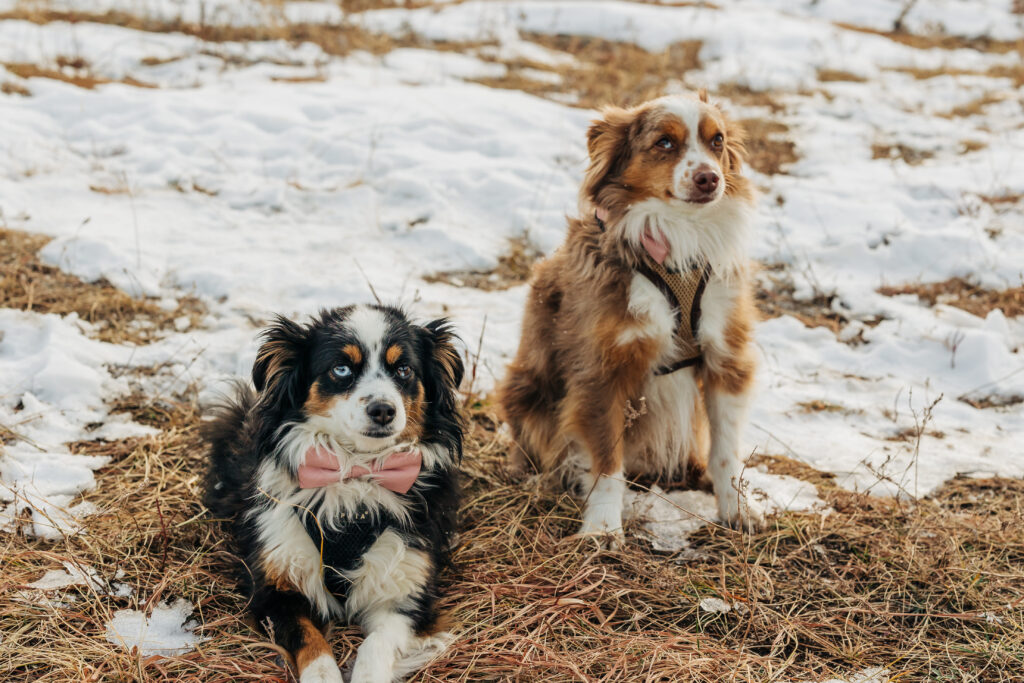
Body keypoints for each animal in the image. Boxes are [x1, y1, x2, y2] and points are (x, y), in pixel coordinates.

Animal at [202, 305, 464, 683]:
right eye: (341, 368)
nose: (383, 410)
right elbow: (310, 641)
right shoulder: (277, 585)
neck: (356, 472)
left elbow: (375, 645)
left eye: (404, 369)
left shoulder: (406, 592)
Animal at [499, 90, 765, 540]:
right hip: (525, 388)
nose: (709, 178)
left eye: (717, 141)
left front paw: (737, 510)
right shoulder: (602, 369)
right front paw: (603, 528)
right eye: (664, 143)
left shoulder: (726, 356)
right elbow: (607, 461)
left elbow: (726, 451)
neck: (677, 241)